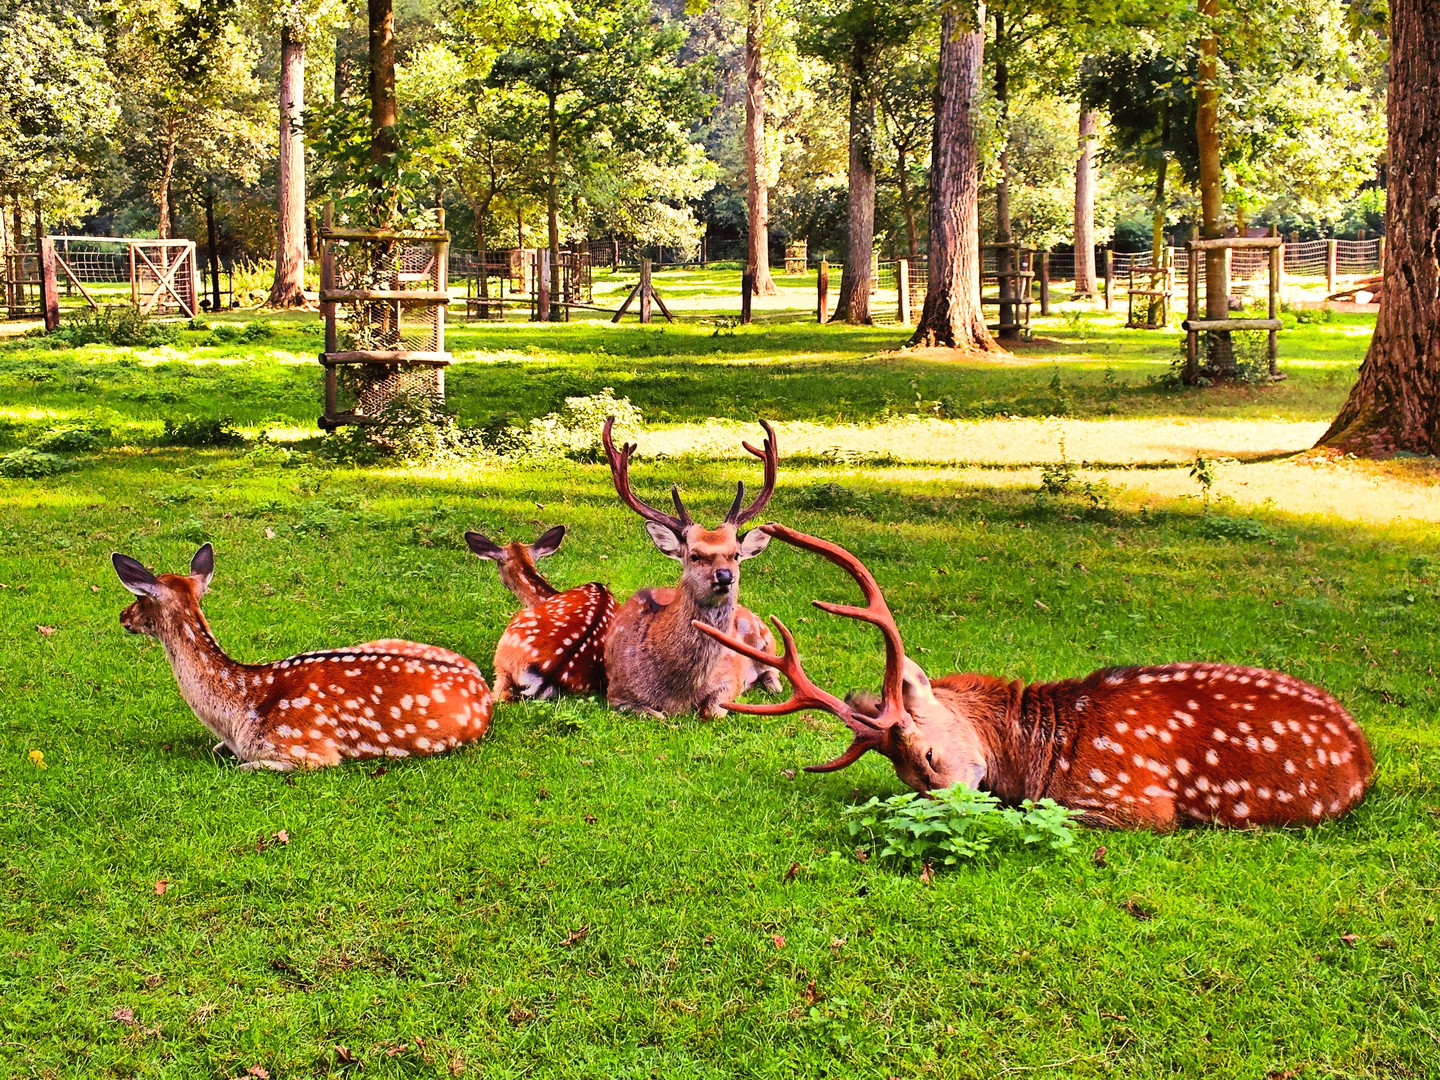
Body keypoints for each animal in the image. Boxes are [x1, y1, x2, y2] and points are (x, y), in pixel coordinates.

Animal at [110, 544, 495, 771]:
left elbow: (246, 765)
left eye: (140, 597)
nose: (122, 616)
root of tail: (482, 686)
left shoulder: (308, 752)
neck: (237, 713)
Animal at [596, 417, 783, 722]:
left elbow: (712, 711)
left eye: (735, 555)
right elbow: (656, 715)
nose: (725, 576)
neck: (678, 693)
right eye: (694, 555)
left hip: (765, 636)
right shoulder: (615, 692)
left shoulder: (729, 676)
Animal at [696, 529, 1370, 835]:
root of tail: (1364, 752)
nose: (952, 808)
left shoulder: (1134, 802)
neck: (1044, 750)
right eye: (909, 782)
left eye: (929, 755)